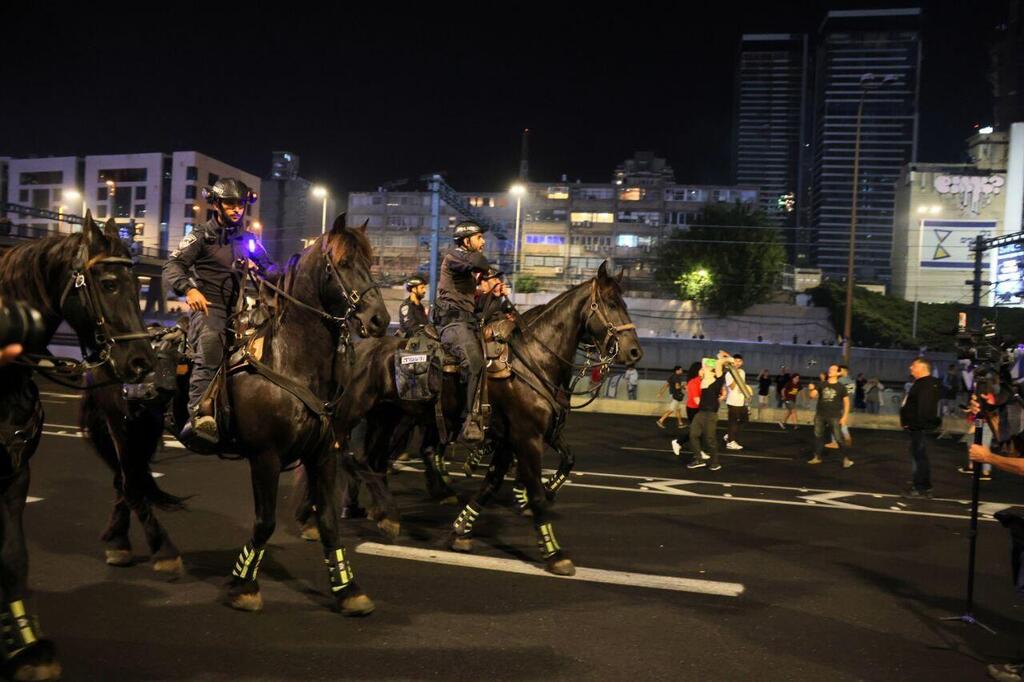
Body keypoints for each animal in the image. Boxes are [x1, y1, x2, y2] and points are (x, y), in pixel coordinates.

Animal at [0, 214, 153, 679]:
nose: (142, 361)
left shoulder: (17, 475)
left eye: (139, 284)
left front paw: (28, 647)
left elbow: (13, 556)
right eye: (109, 283)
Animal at [80, 215, 387, 614]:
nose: (379, 319)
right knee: (130, 484)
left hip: (144, 432)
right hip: (122, 427)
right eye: (345, 263)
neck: (288, 360)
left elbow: (329, 522)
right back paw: (162, 552)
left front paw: (349, 590)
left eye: (371, 260)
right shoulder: (265, 456)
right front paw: (243, 585)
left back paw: (120, 544)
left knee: (126, 482)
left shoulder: (322, 454)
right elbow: (265, 521)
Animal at [323, 260, 638, 573]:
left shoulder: (521, 436)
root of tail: (360, 347)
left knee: (375, 460)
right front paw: (554, 552)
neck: (532, 359)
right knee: (349, 455)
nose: (634, 352)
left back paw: (383, 510)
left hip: (387, 417)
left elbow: (504, 479)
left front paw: (462, 530)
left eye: (624, 302)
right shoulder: (526, 437)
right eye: (611, 303)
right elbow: (532, 490)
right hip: (356, 411)